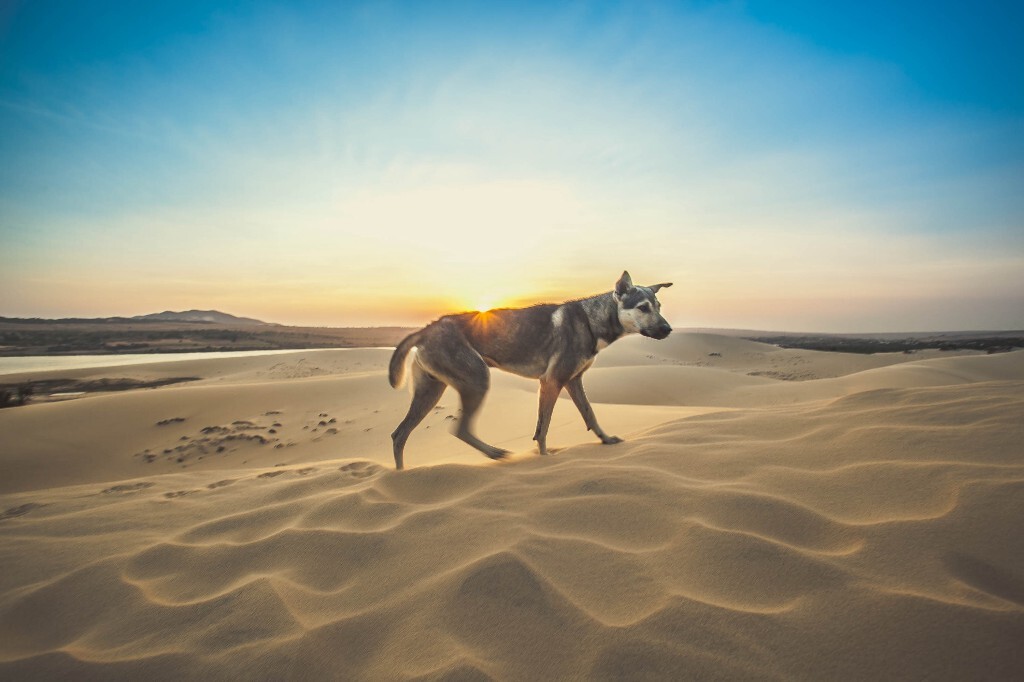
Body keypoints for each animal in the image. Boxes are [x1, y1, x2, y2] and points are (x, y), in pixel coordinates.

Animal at [385, 270, 671, 466]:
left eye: (658, 306)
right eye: (643, 308)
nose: (667, 329)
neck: (591, 320)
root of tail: (427, 328)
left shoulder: (573, 381)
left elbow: (590, 414)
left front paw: (606, 439)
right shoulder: (552, 381)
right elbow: (543, 429)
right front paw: (545, 459)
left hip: (430, 391)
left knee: (400, 435)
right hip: (477, 380)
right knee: (459, 429)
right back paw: (494, 453)